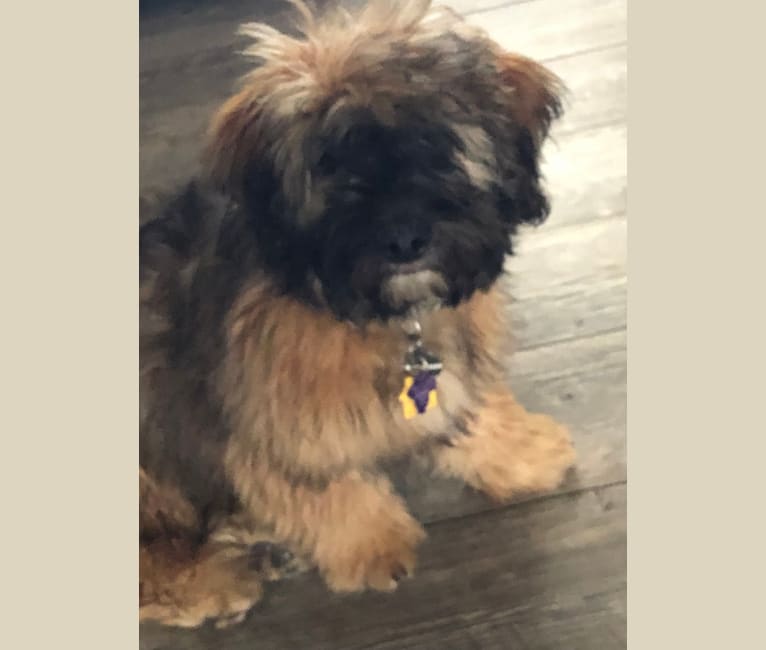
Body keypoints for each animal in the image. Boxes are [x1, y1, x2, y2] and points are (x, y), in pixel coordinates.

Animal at [138, 0, 576, 628]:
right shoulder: (256, 411)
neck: (384, 318)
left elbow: (465, 407)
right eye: (332, 167)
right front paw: (371, 544)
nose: (404, 239)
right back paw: (214, 580)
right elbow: (319, 480)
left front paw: (519, 451)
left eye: (437, 147)